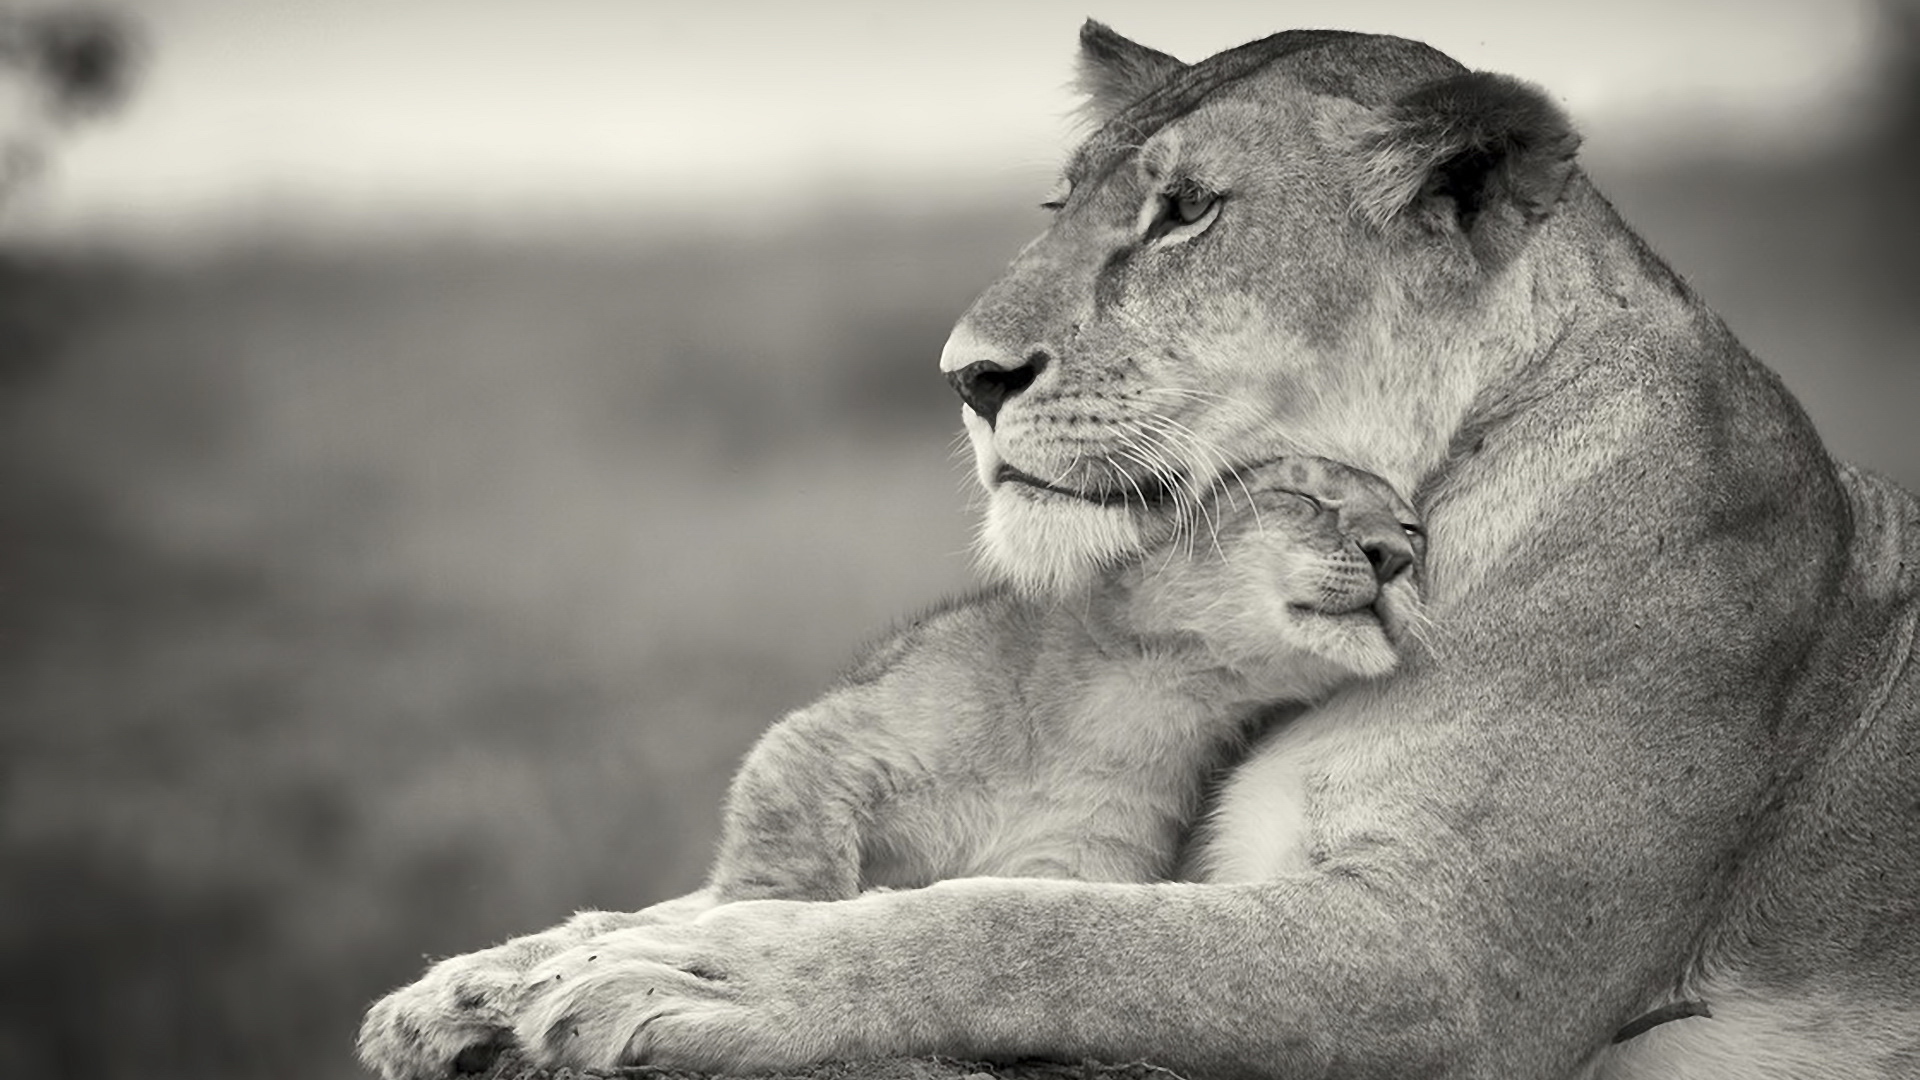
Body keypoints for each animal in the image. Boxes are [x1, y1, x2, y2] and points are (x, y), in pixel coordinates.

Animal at [358, 21, 1920, 1080]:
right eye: (1064, 208)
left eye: (1186, 213)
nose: (966, 376)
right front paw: (488, 983)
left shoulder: (1459, 961)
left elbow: (1039, 932)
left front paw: (697, 977)